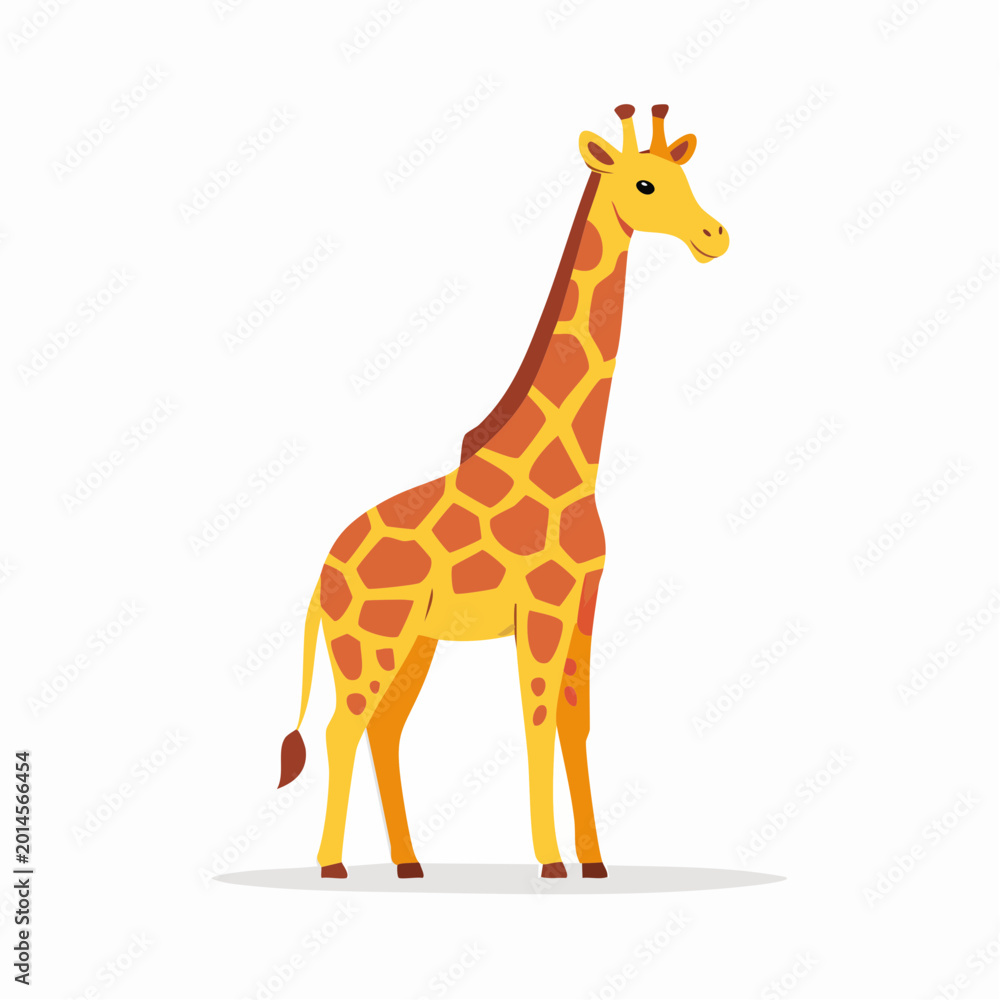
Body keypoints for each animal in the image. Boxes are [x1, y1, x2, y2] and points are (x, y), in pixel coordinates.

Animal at [277, 104, 729, 880]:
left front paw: (594, 860)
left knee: (385, 730)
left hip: (414, 643)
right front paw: (551, 860)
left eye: (685, 178)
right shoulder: (542, 604)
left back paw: (409, 863)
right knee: (343, 728)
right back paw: (333, 865)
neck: (573, 468)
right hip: (369, 640)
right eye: (644, 183)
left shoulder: (583, 601)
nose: (714, 236)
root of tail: (321, 578)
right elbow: (537, 718)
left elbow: (576, 721)